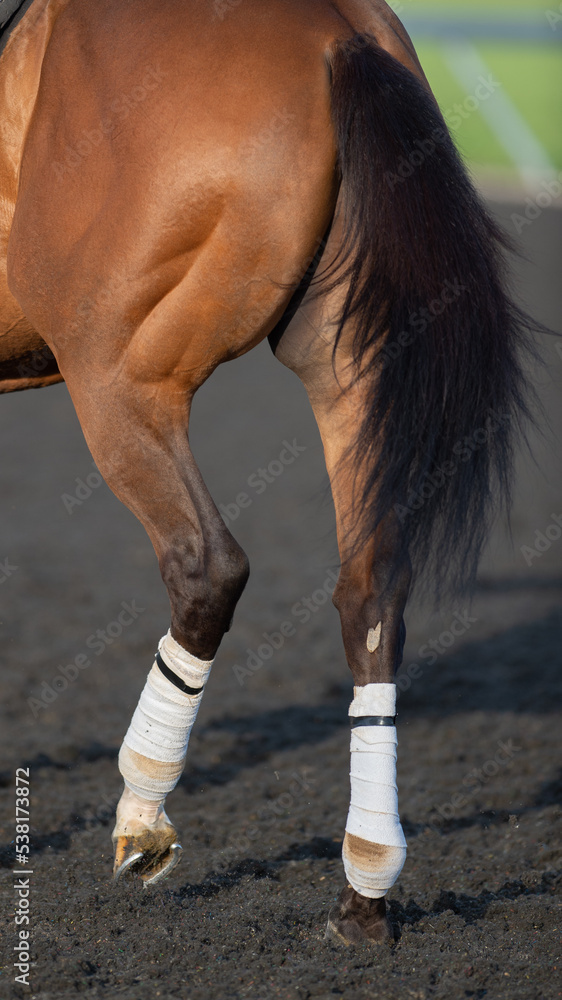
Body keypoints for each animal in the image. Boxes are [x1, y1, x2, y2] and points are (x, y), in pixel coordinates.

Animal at [0, 0, 539, 946]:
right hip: (350, 366)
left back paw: (143, 817)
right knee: (372, 593)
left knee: (207, 564)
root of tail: (335, 30)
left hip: (120, 376)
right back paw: (364, 888)